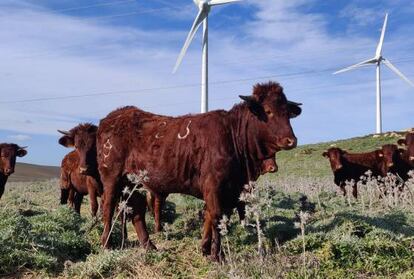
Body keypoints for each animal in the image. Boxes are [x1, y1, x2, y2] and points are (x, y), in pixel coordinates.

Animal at [98, 82, 302, 262]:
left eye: (287, 113)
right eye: (268, 111)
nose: (291, 140)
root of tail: (113, 117)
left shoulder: (229, 191)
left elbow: (212, 217)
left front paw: (205, 248)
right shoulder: (214, 186)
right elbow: (217, 217)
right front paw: (217, 255)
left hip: (131, 183)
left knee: (136, 210)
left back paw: (149, 245)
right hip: (112, 177)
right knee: (108, 206)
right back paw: (106, 244)